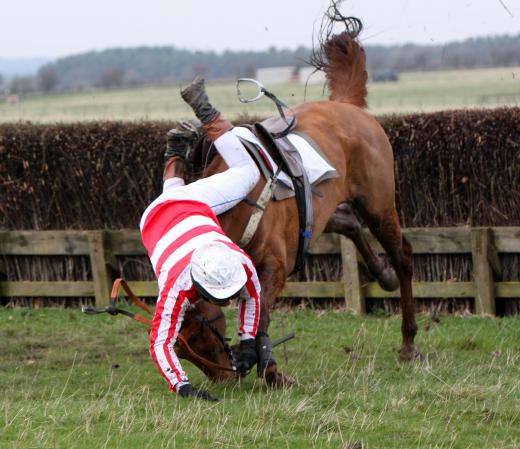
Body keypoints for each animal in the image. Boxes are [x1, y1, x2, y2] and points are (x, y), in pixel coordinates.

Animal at [175, 14, 418, 384]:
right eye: (181, 348)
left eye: (202, 331)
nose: (226, 378)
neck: (235, 206)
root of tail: (345, 105)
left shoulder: (274, 266)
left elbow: (260, 316)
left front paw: (271, 371)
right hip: (322, 212)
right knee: (348, 223)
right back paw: (383, 275)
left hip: (378, 205)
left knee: (402, 254)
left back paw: (408, 340)